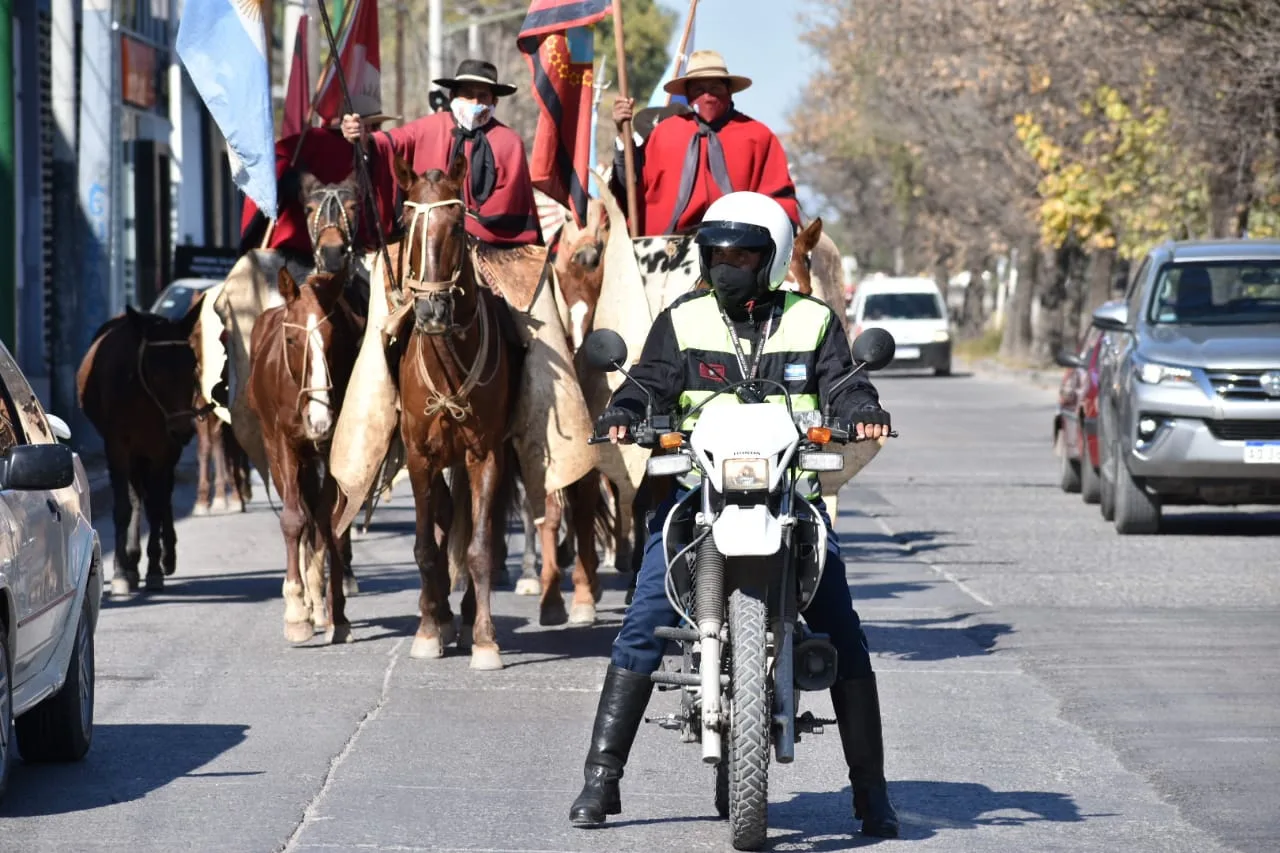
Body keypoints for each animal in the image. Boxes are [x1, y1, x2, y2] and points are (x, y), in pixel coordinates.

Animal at [77, 303, 203, 591]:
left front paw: (155, 566)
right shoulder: (117, 448)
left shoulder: (163, 447)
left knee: (163, 493)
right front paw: (121, 570)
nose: (183, 429)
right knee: (138, 494)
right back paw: (132, 560)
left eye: (193, 366)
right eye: (156, 371)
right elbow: (124, 507)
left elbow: (156, 505)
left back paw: (166, 554)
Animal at [245, 171, 363, 637]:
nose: (318, 419)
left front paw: (336, 610)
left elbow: (331, 520)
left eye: (332, 339)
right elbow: (295, 519)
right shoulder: (283, 444)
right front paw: (297, 609)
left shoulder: (332, 446)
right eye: (293, 340)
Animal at [394, 154, 524, 671]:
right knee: (448, 517)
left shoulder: (485, 455)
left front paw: (486, 640)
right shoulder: (419, 457)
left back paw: (467, 616)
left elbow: (480, 548)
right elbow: (426, 548)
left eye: (456, 226)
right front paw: (429, 629)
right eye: (405, 223)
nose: (431, 311)